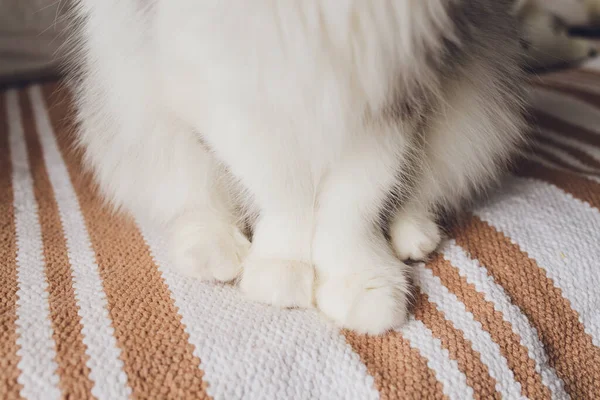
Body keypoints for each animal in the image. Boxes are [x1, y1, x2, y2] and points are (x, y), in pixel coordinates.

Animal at [67, 0, 524, 334]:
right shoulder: (227, 84)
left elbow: (354, 202)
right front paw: (280, 274)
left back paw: (414, 235)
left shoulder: (391, 88)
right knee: (191, 197)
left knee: (420, 191)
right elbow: (286, 195)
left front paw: (363, 284)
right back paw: (213, 251)